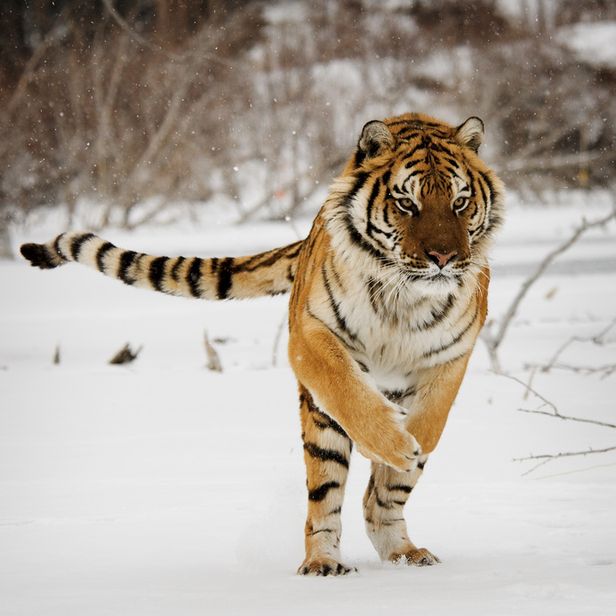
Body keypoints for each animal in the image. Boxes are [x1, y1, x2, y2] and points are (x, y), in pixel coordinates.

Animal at [20, 112, 500, 576]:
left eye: (459, 202)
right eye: (406, 203)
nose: (444, 258)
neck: (404, 296)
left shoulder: (453, 355)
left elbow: (427, 427)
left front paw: (404, 450)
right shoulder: (309, 336)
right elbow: (348, 391)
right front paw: (390, 443)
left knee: (377, 501)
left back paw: (404, 552)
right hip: (320, 428)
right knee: (325, 493)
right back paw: (323, 562)